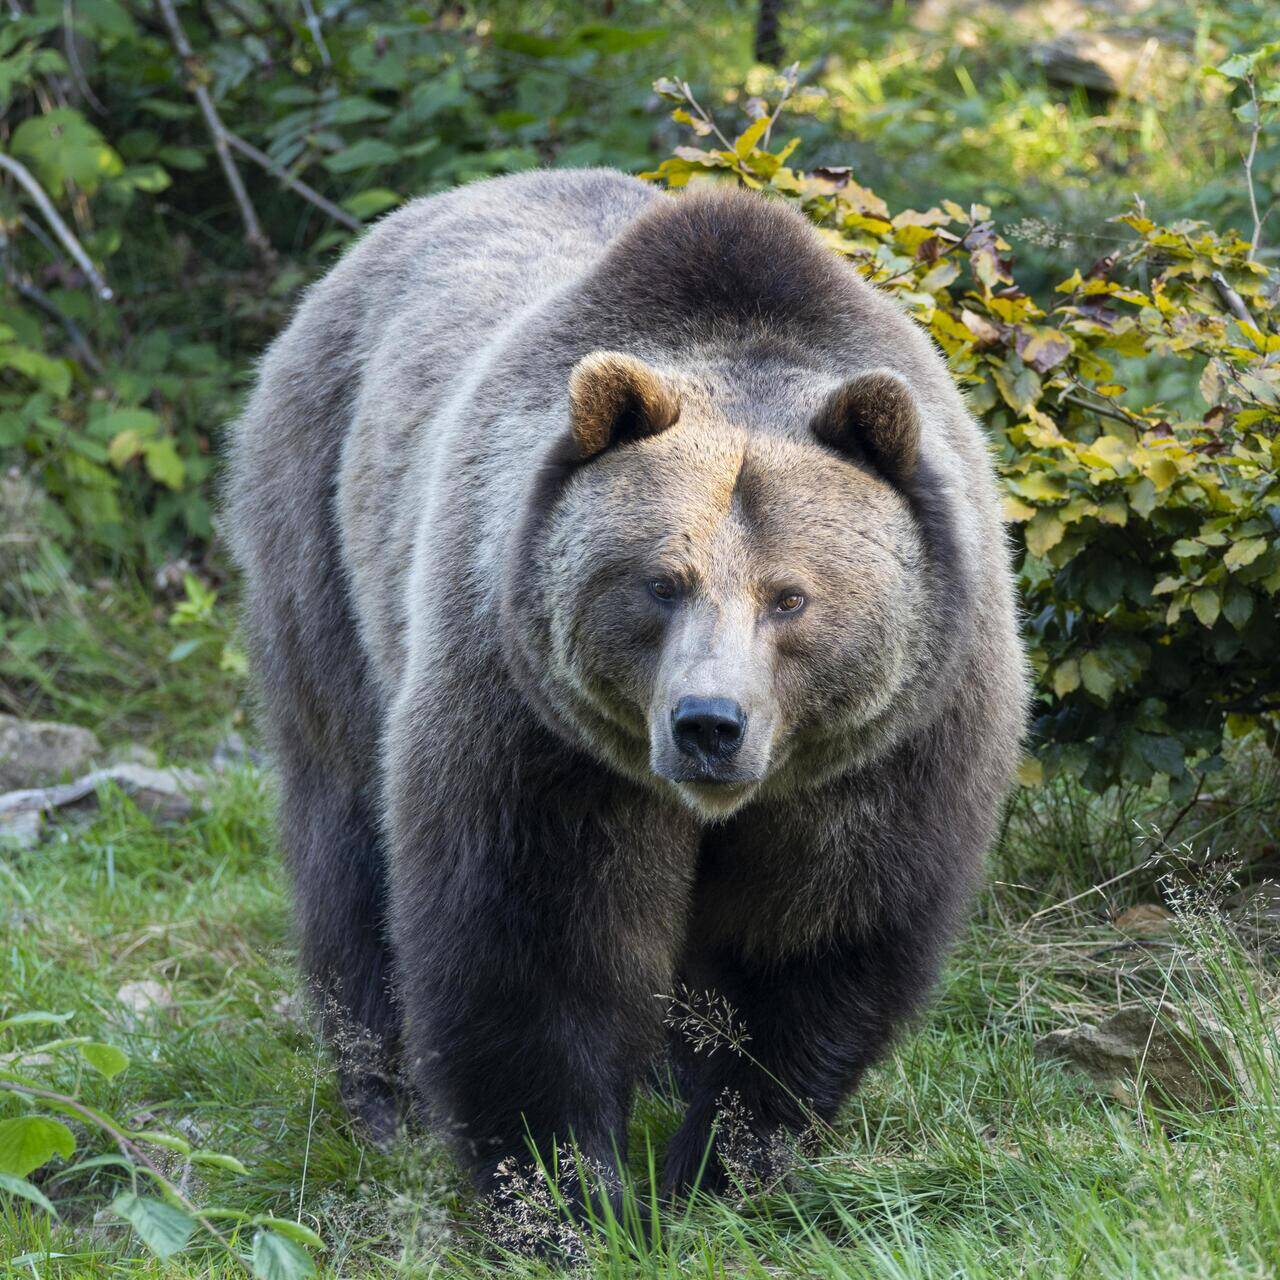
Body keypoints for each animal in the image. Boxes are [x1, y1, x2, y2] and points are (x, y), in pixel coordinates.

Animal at [225, 167, 1029, 1198]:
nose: (709, 724)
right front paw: (565, 1185)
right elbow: (537, 946)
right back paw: (381, 1096)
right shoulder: (541, 730)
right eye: (660, 581)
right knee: (345, 828)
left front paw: (725, 1159)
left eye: (791, 597)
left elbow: (813, 939)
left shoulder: (891, 747)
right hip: (322, 531)